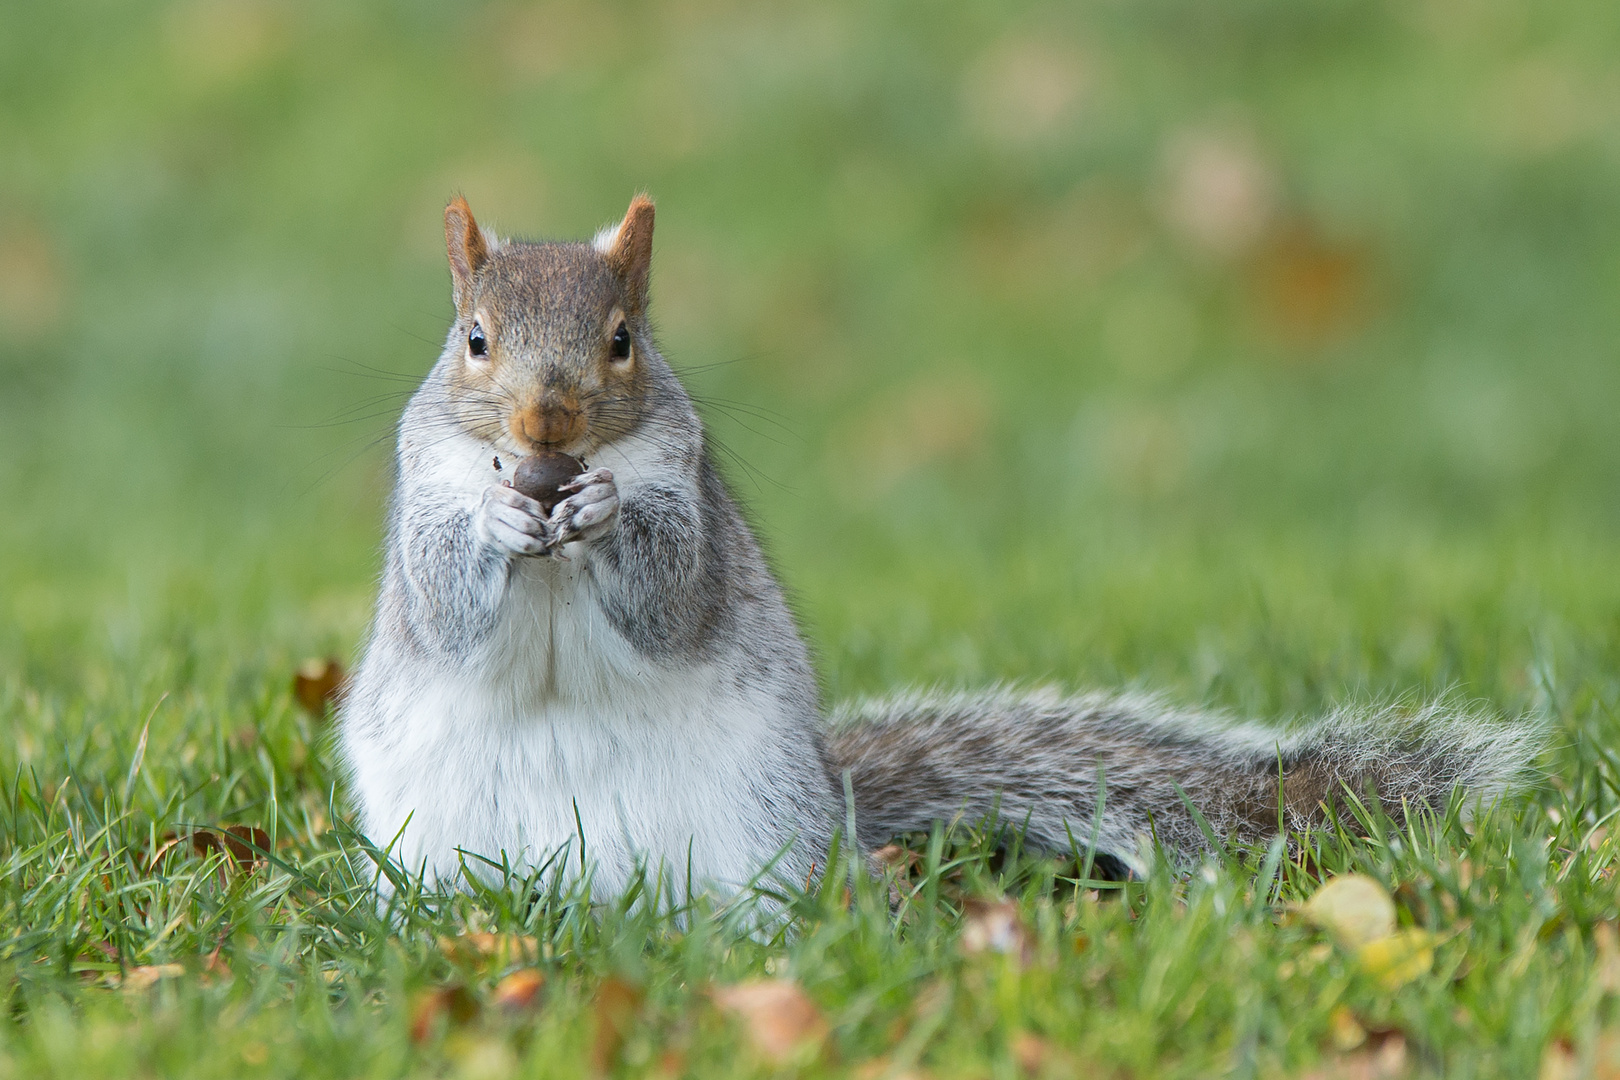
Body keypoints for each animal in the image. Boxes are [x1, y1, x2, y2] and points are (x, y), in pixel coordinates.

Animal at [332, 196, 1542, 906]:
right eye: (474, 340)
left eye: (623, 342)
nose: (547, 425)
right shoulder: (425, 489)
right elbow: (444, 600)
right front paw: (499, 524)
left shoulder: (689, 495)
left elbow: (673, 592)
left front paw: (606, 510)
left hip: (752, 836)